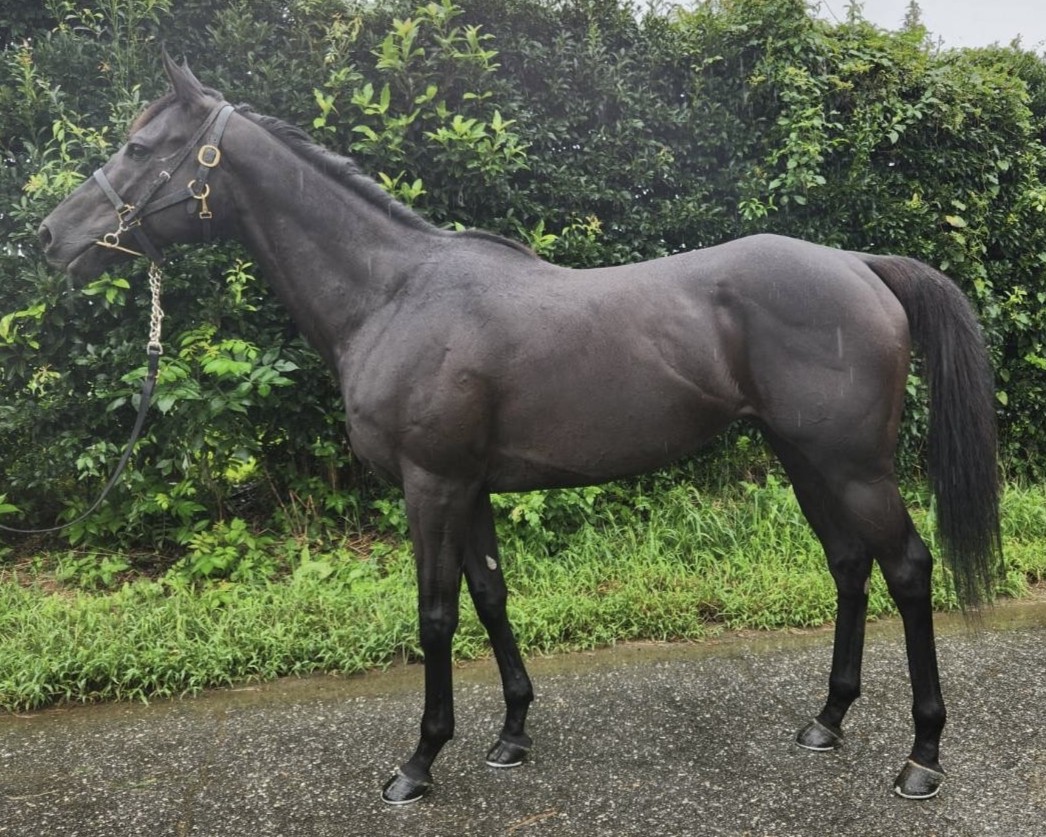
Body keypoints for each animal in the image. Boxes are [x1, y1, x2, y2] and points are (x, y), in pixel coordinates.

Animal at [37, 53, 1001, 804]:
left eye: (139, 147)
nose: (49, 236)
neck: (393, 294)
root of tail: (858, 264)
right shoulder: (469, 487)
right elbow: (492, 595)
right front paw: (510, 734)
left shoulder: (430, 485)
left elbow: (434, 615)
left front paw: (419, 762)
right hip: (805, 458)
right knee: (849, 564)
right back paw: (827, 719)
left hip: (853, 465)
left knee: (907, 568)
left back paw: (922, 756)